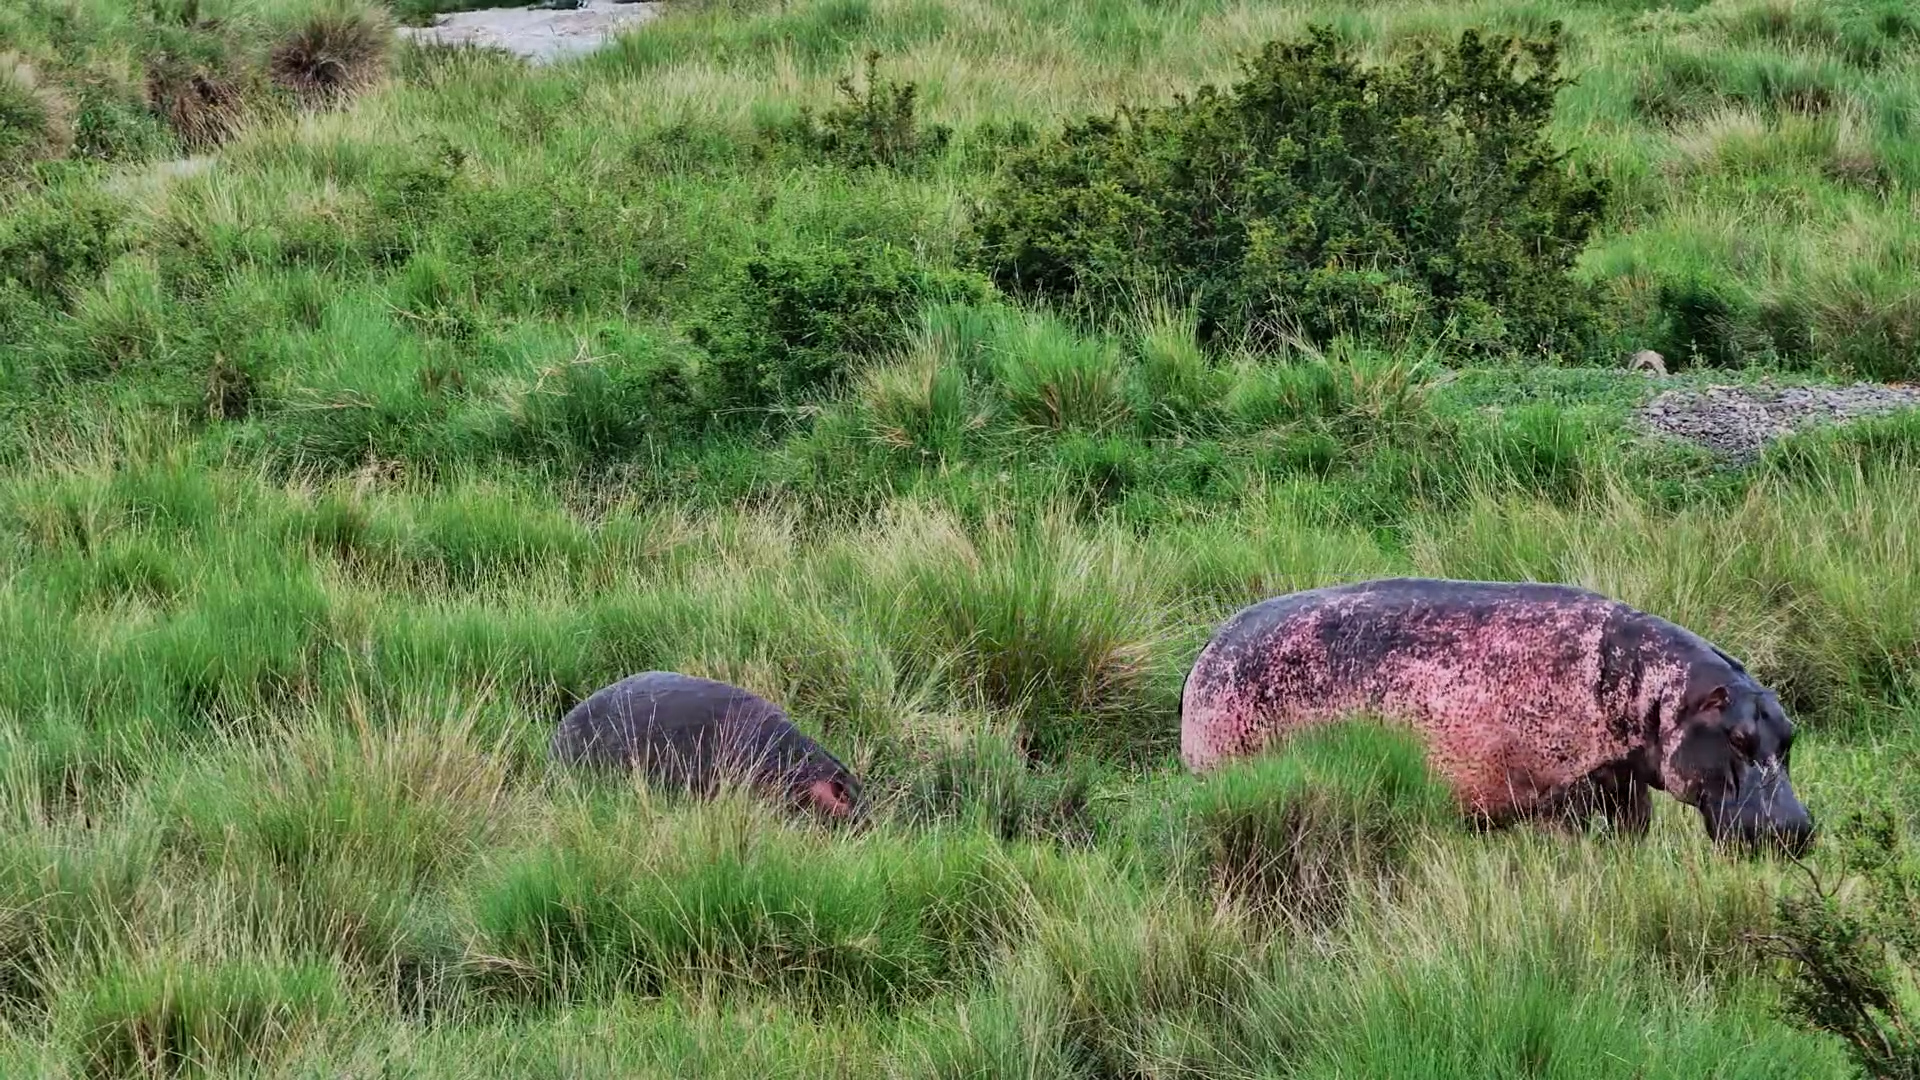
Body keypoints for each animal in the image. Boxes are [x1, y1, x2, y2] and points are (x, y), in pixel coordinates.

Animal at [1180, 578, 1814, 853]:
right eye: (1736, 738)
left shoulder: (1621, 774)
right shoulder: (1568, 784)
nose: (1797, 828)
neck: (1659, 692)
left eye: (1788, 735)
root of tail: (1207, 651)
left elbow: (1632, 829)